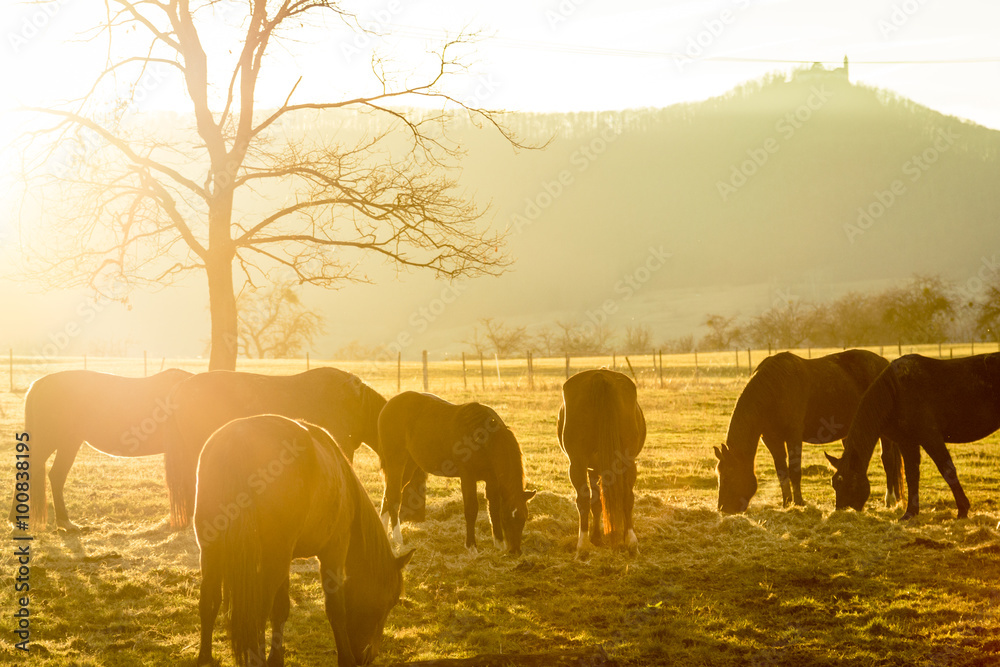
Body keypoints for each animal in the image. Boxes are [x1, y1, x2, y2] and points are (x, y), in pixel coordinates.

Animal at [195, 415, 411, 667]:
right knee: (256, 613)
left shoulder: (286, 559)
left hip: (213, 551)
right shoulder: (333, 551)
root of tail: (237, 443)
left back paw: (205, 657)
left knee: (209, 601)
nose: (367, 656)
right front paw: (345, 657)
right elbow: (335, 608)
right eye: (390, 603)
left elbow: (281, 609)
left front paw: (276, 658)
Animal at [377, 392, 535, 556]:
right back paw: (397, 539)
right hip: (396, 461)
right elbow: (471, 509)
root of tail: (389, 404)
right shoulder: (467, 477)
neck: (485, 439)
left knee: (388, 494)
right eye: (507, 518)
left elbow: (493, 508)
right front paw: (472, 547)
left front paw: (499, 543)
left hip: (409, 464)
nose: (515, 551)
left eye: (524, 518)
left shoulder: (492, 480)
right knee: (394, 498)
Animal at [557, 369, 646, 557]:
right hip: (627, 463)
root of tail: (600, 375)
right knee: (626, 497)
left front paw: (596, 537)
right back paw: (630, 541)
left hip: (577, 463)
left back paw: (583, 544)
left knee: (584, 499)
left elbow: (596, 502)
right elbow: (598, 501)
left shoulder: (591, 468)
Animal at [714, 350, 903, 514]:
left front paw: (799, 503)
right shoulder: (771, 440)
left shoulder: (794, 436)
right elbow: (782, 472)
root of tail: (884, 363)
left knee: (888, 460)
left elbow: (794, 471)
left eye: (731, 475)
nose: (723, 508)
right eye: (719, 474)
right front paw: (786, 503)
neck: (774, 390)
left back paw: (890, 500)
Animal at [827, 353, 1000, 520]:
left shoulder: (931, 438)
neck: (896, 392)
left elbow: (948, 470)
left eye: (849, 482)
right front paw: (910, 512)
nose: (840, 512)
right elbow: (911, 475)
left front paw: (963, 510)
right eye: (834, 483)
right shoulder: (907, 442)